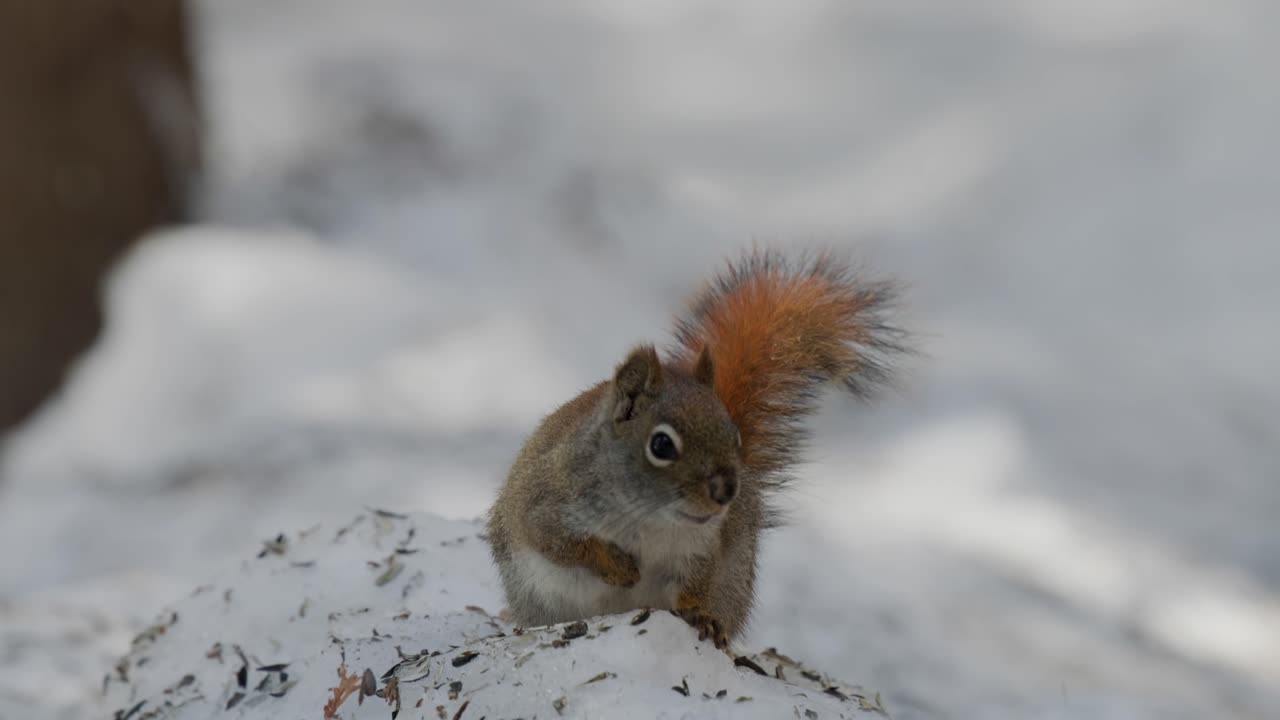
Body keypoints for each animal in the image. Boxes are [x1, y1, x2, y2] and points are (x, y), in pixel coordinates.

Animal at [486, 249, 905, 648]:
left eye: (735, 437)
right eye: (661, 445)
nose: (726, 490)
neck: (650, 519)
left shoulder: (701, 547)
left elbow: (695, 583)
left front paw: (699, 615)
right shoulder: (548, 503)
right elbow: (559, 542)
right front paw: (617, 565)